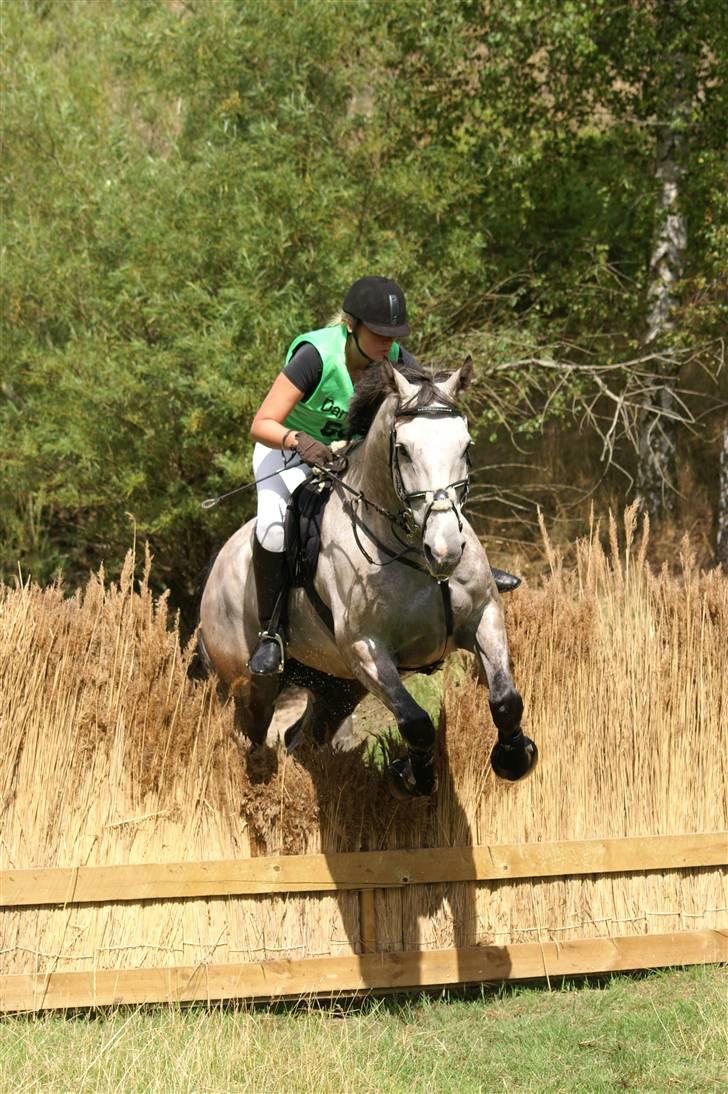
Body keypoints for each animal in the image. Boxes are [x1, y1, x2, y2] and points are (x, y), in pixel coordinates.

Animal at [195, 358, 536, 796]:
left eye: (467, 447)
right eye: (403, 450)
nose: (445, 552)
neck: (415, 553)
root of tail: (215, 568)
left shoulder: (484, 616)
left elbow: (506, 699)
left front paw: (515, 758)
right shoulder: (367, 650)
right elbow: (416, 722)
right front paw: (409, 776)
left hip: (337, 686)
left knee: (301, 737)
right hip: (252, 684)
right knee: (254, 739)